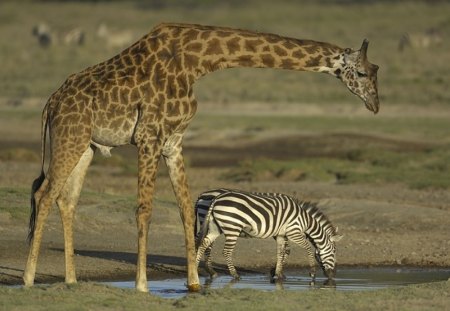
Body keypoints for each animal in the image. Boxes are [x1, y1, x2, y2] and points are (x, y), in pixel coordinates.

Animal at [195, 189, 342, 282]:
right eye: (334, 252)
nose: (333, 275)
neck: (304, 219)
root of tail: (214, 198)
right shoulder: (293, 232)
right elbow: (306, 249)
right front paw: (312, 272)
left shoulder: (280, 234)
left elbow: (281, 252)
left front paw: (278, 273)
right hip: (232, 228)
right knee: (224, 251)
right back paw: (234, 275)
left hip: (214, 227)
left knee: (203, 244)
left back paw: (198, 269)